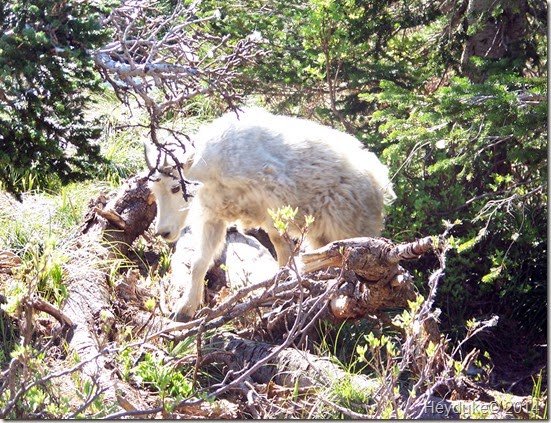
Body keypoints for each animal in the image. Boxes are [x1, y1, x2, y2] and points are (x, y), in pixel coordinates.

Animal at [147, 108, 396, 322]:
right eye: (154, 190)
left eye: (175, 188)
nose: (163, 232)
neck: (212, 167)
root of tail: (381, 183)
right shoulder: (214, 216)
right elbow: (200, 262)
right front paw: (184, 309)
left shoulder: (274, 204)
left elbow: (281, 247)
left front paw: (281, 288)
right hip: (321, 235)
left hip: (347, 226)